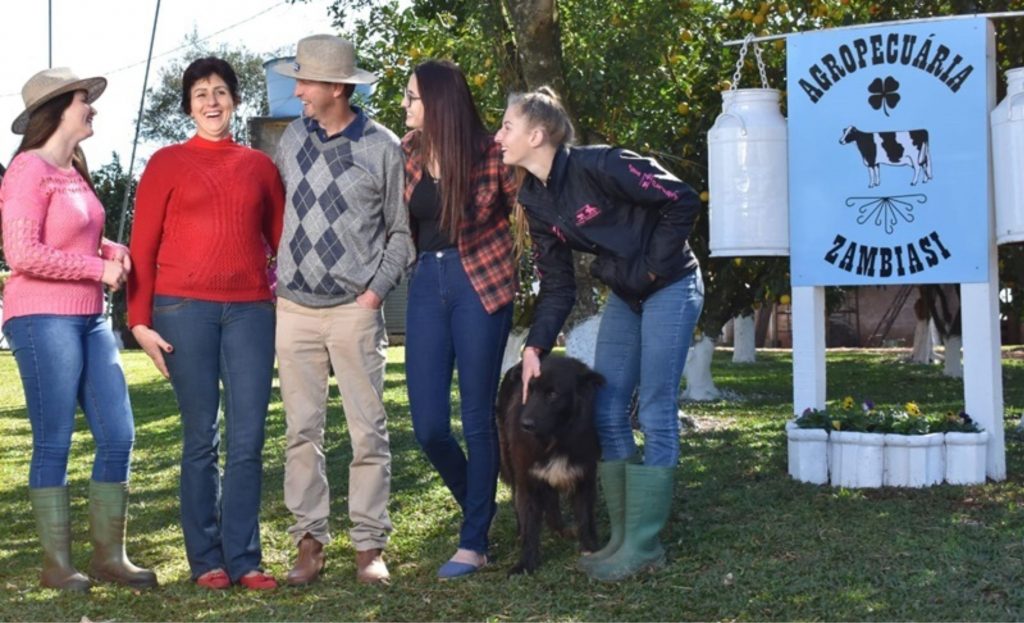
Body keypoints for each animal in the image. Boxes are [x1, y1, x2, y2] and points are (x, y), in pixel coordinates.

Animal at [493, 354, 598, 573]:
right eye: (529, 390)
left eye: (552, 394)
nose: (524, 425)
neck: (555, 438)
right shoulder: (529, 479)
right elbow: (530, 524)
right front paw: (525, 564)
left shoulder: (584, 476)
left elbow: (585, 516)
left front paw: (591, 549)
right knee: (518, 498)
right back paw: (521, 533)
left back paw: (560, 529)